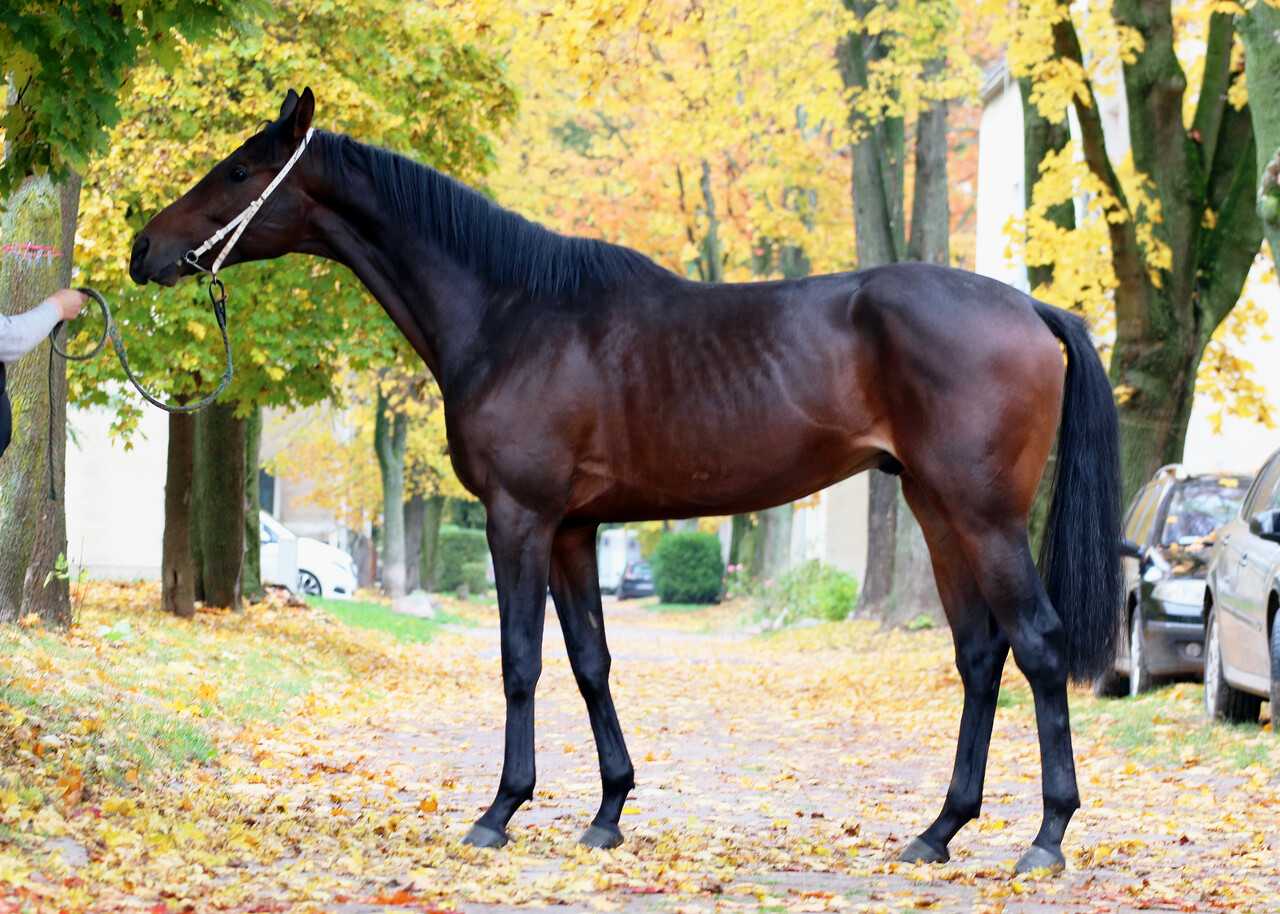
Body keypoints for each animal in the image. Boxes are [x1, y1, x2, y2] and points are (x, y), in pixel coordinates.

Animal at [129, 88, 1122, 873]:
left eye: (238, 170)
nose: (144, 248)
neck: (513, 315)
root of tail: (1032, 307)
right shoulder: (574, 530)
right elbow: (591, 663)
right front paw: (606, 811)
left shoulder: (519, 520)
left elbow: (521, 661)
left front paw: (500, 809)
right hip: (934, 507)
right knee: (979, 655)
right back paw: (939, 831)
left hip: (984, 516)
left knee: (1036, 645)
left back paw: (1047, 837)